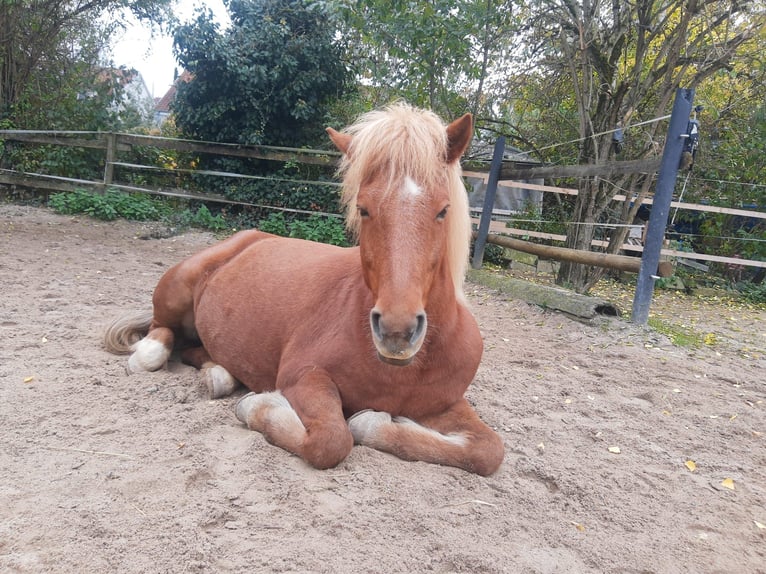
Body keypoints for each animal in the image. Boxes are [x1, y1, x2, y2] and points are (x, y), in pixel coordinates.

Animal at [103, 103, 505, 476]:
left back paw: (219, 376)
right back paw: (156, 355)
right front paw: (258, 405)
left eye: (443, 210)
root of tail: (247, 238)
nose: (397, 331)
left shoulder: (446, 403)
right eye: (363, 209)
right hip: (175, 292)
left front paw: (382, 421)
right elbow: (331, 440)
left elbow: (487, 451)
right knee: (157, 339)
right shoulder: (303, 376)